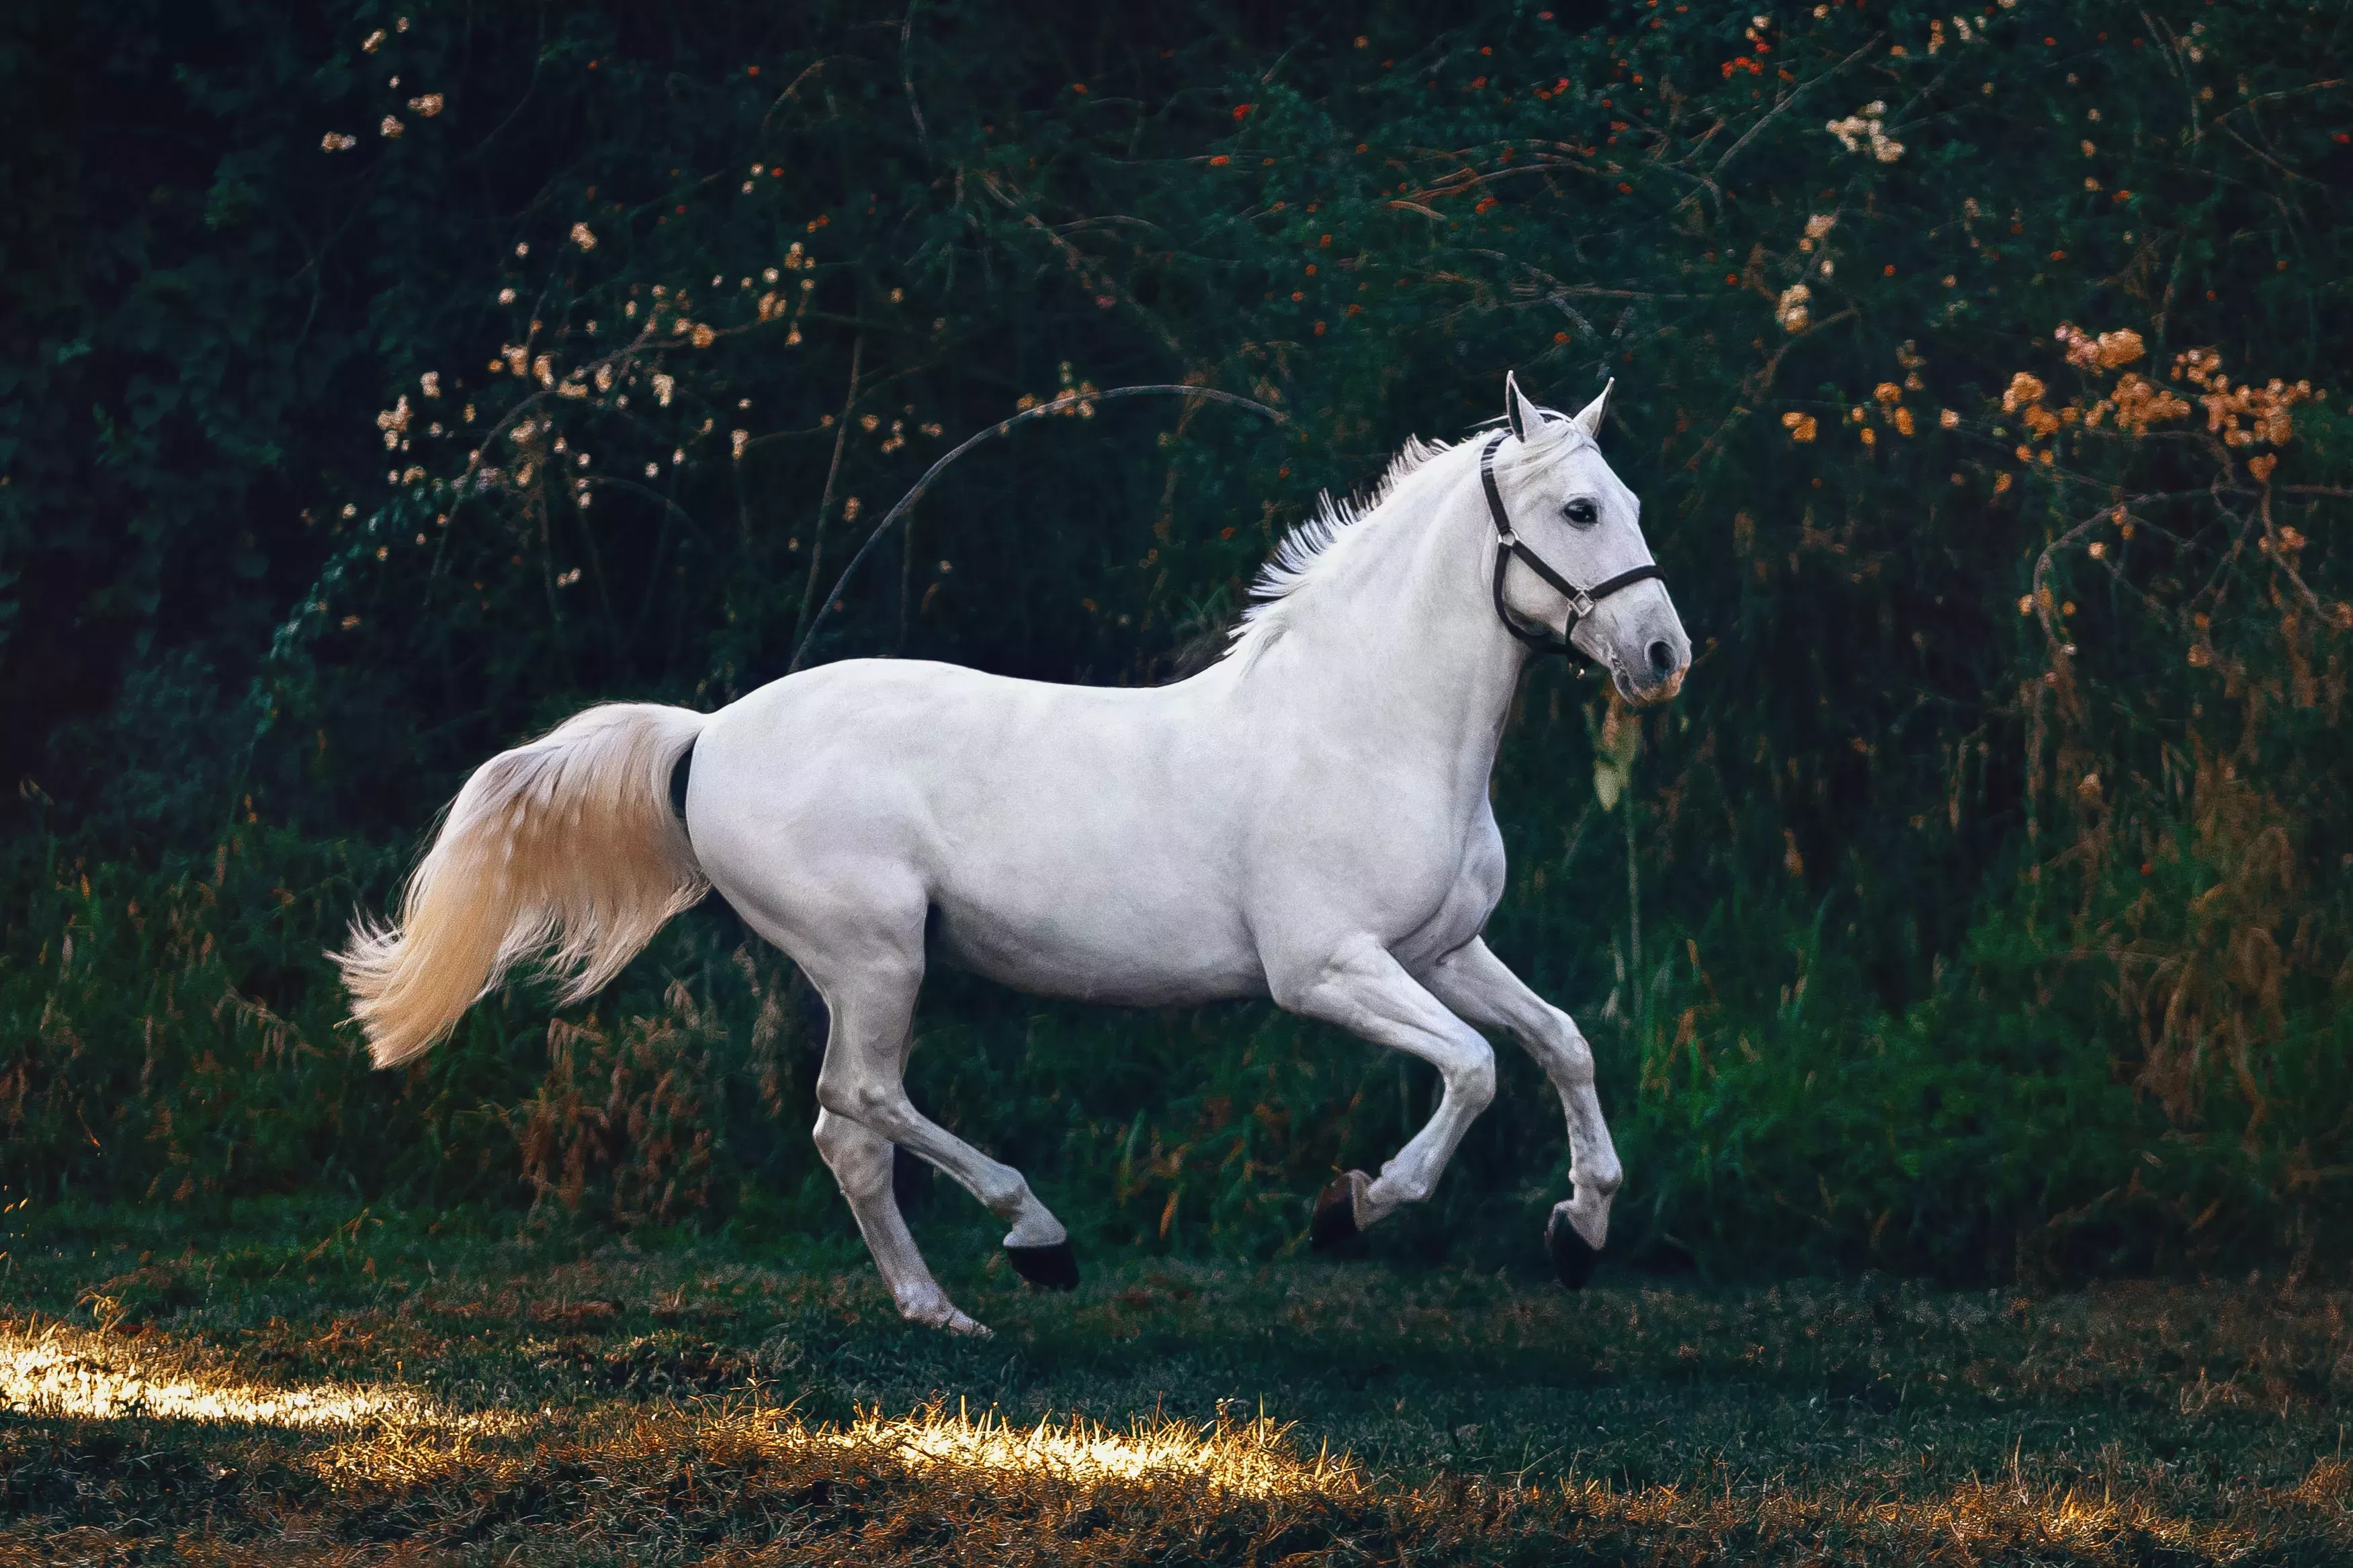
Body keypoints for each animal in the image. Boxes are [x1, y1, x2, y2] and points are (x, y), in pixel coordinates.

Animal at [341, 372, 1684, 1327]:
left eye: (1629, 502)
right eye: (1578, 509)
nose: (1663, 655)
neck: (1366, 724)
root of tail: (707, 734)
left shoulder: (1442, 949)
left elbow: (1560, 1042)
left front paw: (1580, 1230)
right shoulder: (1326, 969)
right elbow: (1474, 1069)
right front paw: (1351, 1207)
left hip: (870, 967)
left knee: (847, 1133)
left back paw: (941, 1310)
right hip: (875, 955)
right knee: (859, 1102)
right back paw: (1034, 1239)